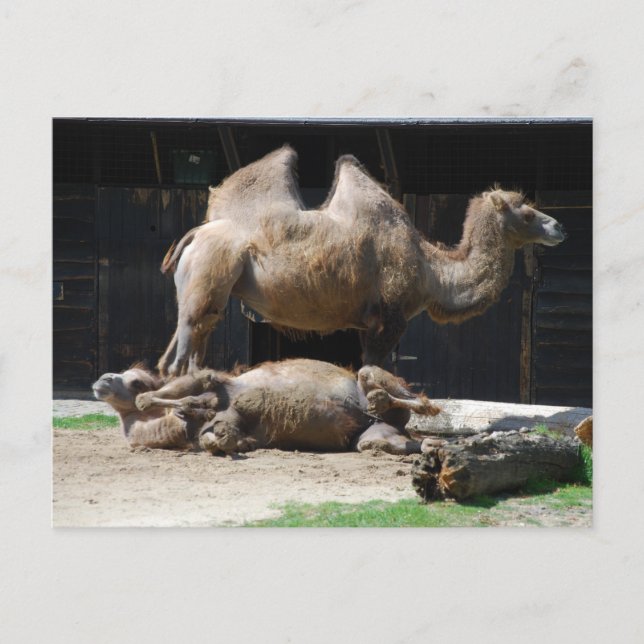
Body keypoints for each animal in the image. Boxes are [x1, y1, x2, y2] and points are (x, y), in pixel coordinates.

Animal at [92, 359, 441, 455]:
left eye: (136, 380)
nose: (102, 379)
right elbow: (220, 438)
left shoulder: (214, 380)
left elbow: (196, 382)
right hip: (375, 433)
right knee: (387, 441)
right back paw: (429, 445)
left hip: (372, 378)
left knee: (409, 397)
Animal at [158, 146, 566, 376]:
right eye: (526, 212)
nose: (558, 225)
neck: (431, 272)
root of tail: (195, 233)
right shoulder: (390, 318)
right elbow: (370, 372)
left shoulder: (367, 323)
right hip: (213, 267)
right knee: (184, 349)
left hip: (204, 287)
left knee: (187, 341)